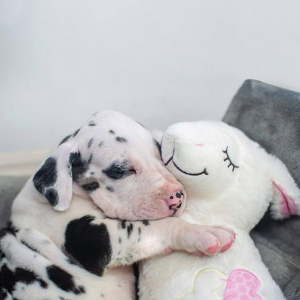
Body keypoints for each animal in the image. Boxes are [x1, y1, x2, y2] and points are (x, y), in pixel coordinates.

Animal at [0, 110, 234, 300]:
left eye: (160, 153)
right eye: (120, 171)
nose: (176, 195)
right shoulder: (94, 239)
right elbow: (151, 226)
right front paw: (204, 233)